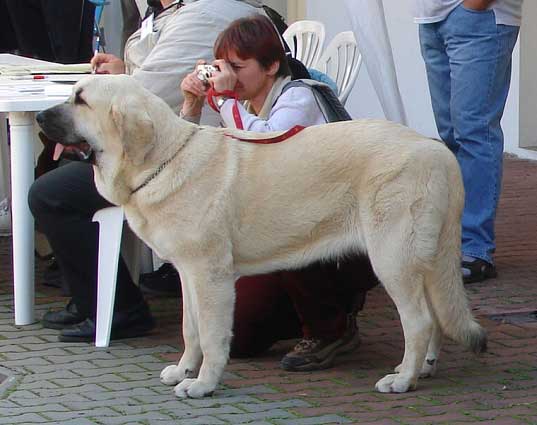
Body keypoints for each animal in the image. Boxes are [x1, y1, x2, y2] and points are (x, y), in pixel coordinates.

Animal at [36, 74, 486, 396]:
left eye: (80, 100)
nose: (39, 116)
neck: (161, 160)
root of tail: (436, 150)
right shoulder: (188, 275)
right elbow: (190, 329)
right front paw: (183, 370)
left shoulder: (211, 277)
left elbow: (213, 336)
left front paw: (203, 383)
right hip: (422, 260)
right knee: (434, 317)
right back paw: (422, 369)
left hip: (392, 258)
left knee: (419, 320)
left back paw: (404, 379)